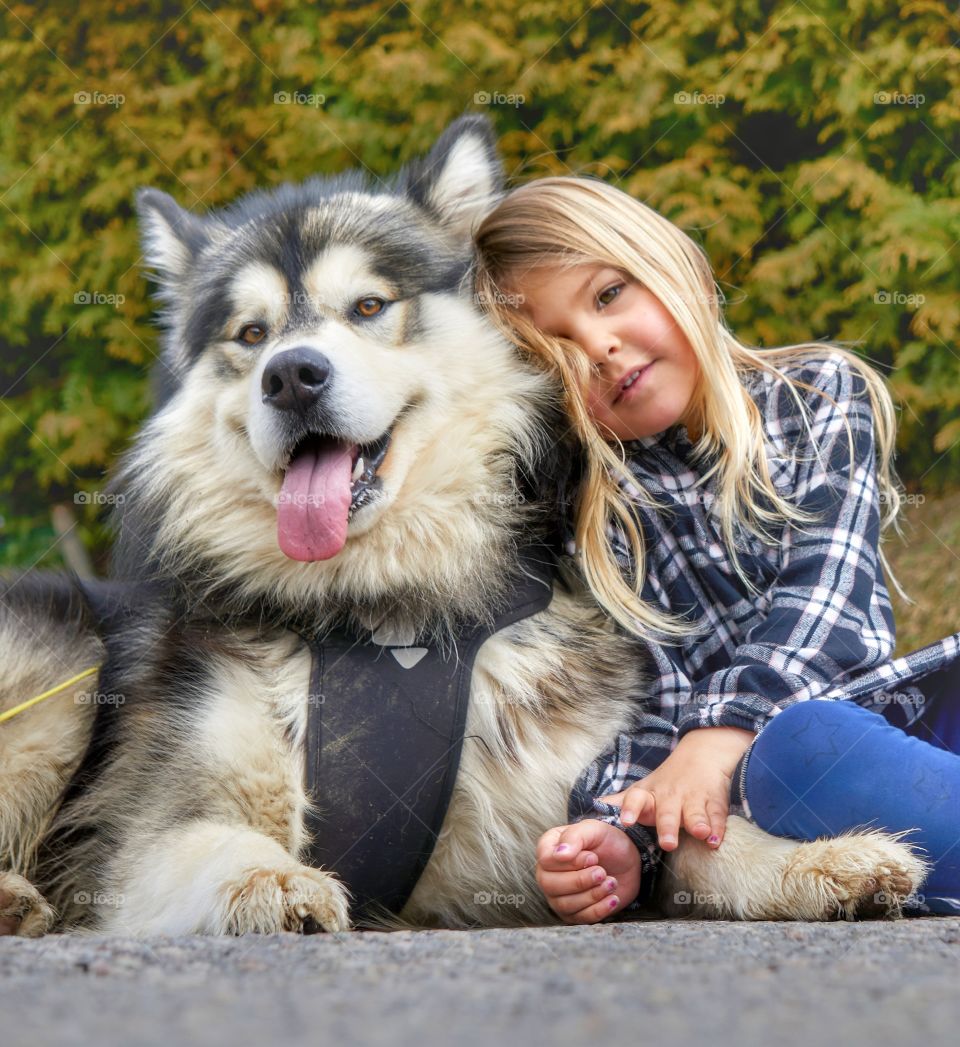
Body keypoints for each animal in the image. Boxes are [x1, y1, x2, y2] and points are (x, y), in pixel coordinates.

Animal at [0, 112, 929, 933]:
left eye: (369, 306)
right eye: (251, 333)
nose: (291, 376)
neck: (390, 609)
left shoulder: (557, 803)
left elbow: (685, 835)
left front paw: (815, 858)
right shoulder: (142, 831)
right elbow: (209, 843)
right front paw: (272, 879)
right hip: (65, 661)